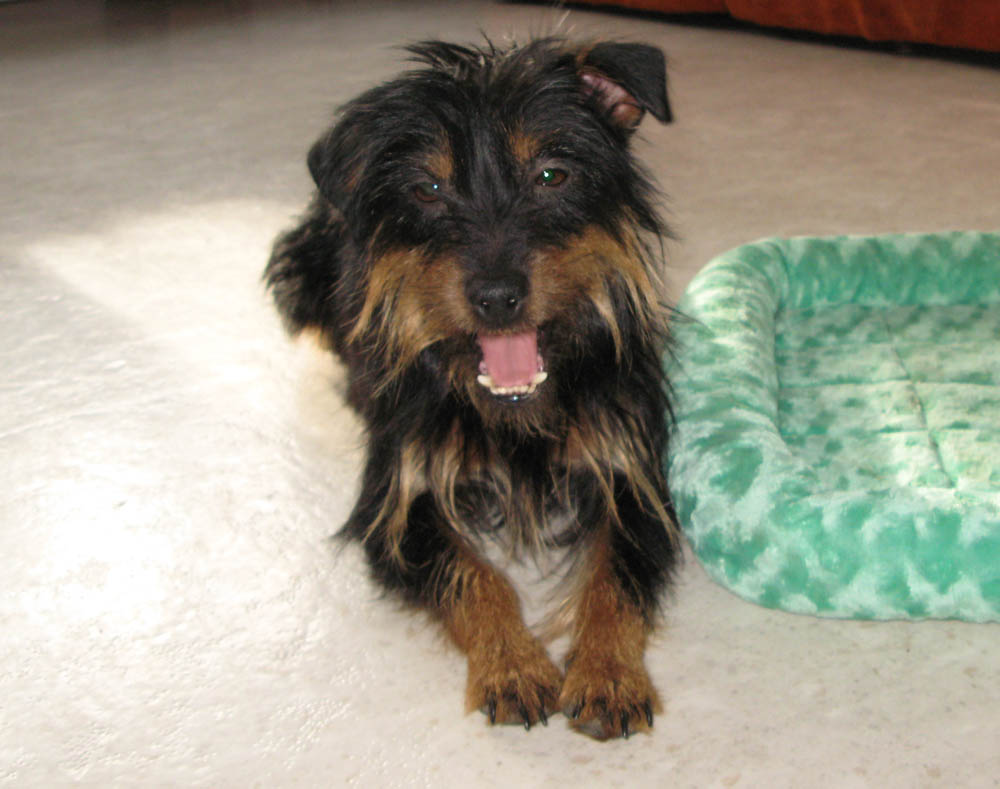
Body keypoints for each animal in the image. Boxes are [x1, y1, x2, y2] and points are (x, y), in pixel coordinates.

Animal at [264, 37, 680, 740]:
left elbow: (613, 578)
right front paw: (511, 666)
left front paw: (606, 672)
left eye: (552, 176)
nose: (496, 297)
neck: (515, 414)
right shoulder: (396, 506)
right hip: (300, 271)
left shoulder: (633, 478)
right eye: (427, 189)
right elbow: (475, 576)